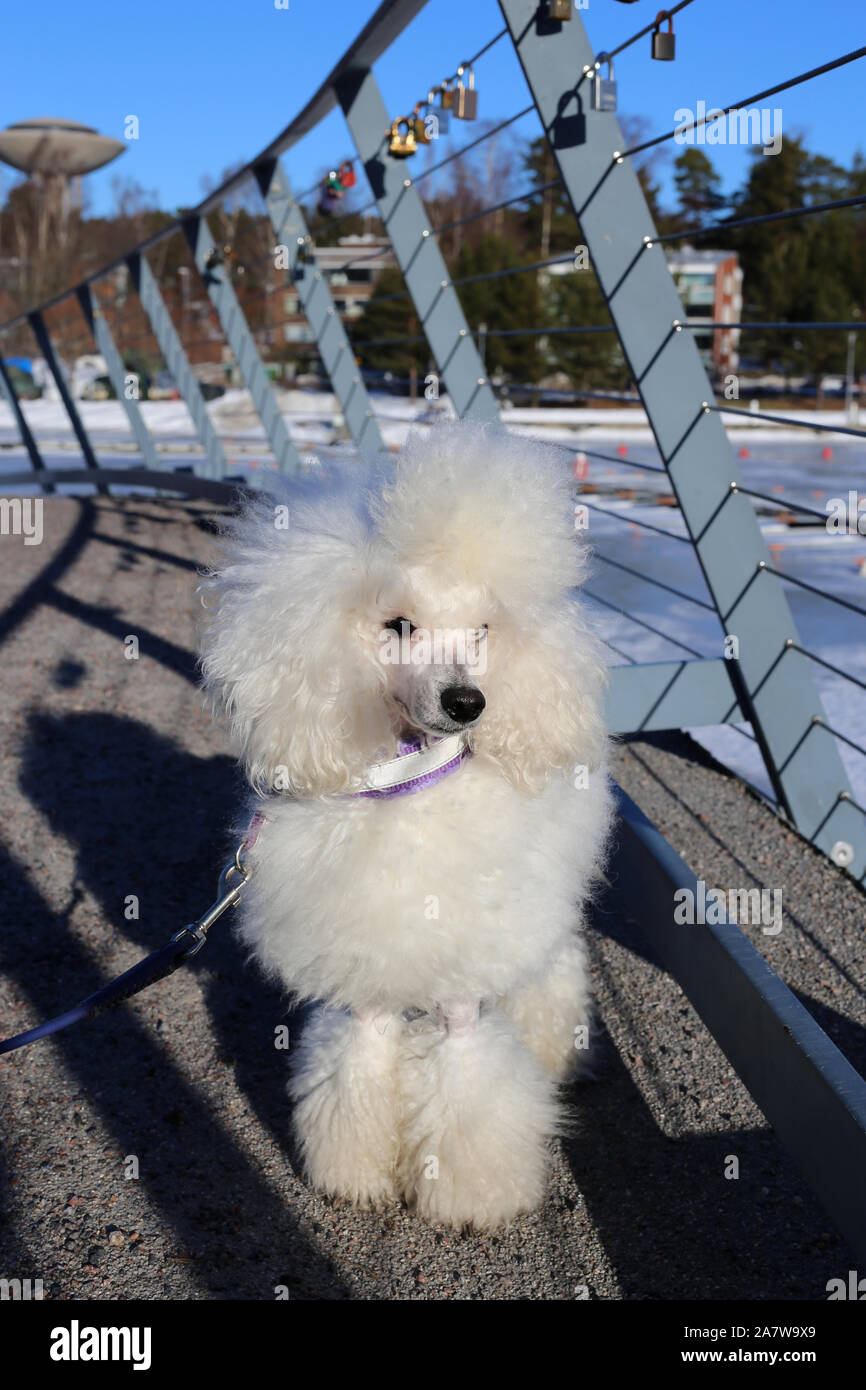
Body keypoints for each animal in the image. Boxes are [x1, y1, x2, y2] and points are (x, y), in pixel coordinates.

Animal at [200, 422, 614, 1228]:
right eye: (397, 626)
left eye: (482, 630)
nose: (467, 702)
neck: (409, 792)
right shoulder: (365, 984)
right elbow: (355, 1072)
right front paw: (355, 1177)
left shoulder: (462, 993)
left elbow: (470, 1087)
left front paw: (472, 1200)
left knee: (550, 972)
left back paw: (558, 1053)